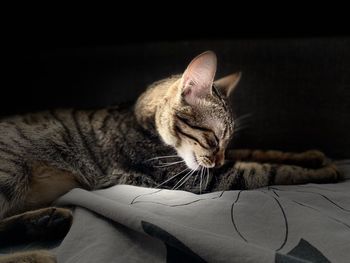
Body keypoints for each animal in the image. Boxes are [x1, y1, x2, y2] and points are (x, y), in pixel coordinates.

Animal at [0, 51, 340, 262]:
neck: (140, 119)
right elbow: (266, 170)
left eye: (227, 141)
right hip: (10, 172)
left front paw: (310, 156)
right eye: (213, 138)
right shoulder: (189, 176)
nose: (218, 159)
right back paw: (37, 252)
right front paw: (325, 172)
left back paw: (45, 221)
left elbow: (258, 152)